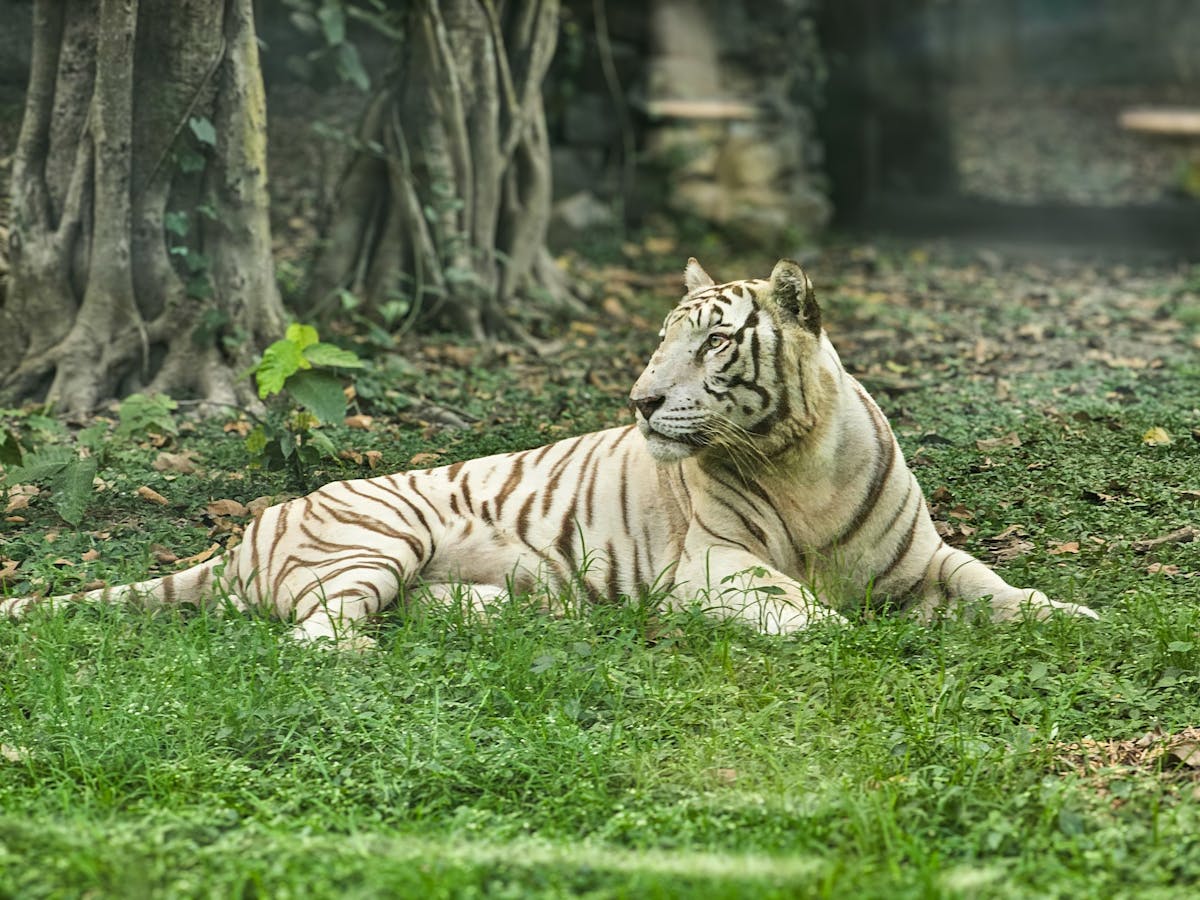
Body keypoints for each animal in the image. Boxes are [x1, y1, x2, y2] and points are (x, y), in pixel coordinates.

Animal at [1, 258, 1098, 645]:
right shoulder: (713, 567)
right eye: (661, 340)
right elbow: (805, 613)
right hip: (377, 535)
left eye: (712, 343)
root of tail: (241, 538)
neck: (796, 455)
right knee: (314, 635)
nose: (641, 398)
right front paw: (852, 637)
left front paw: (1077, 615)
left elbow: (999, 587)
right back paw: (370, 654)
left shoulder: (925, 557)